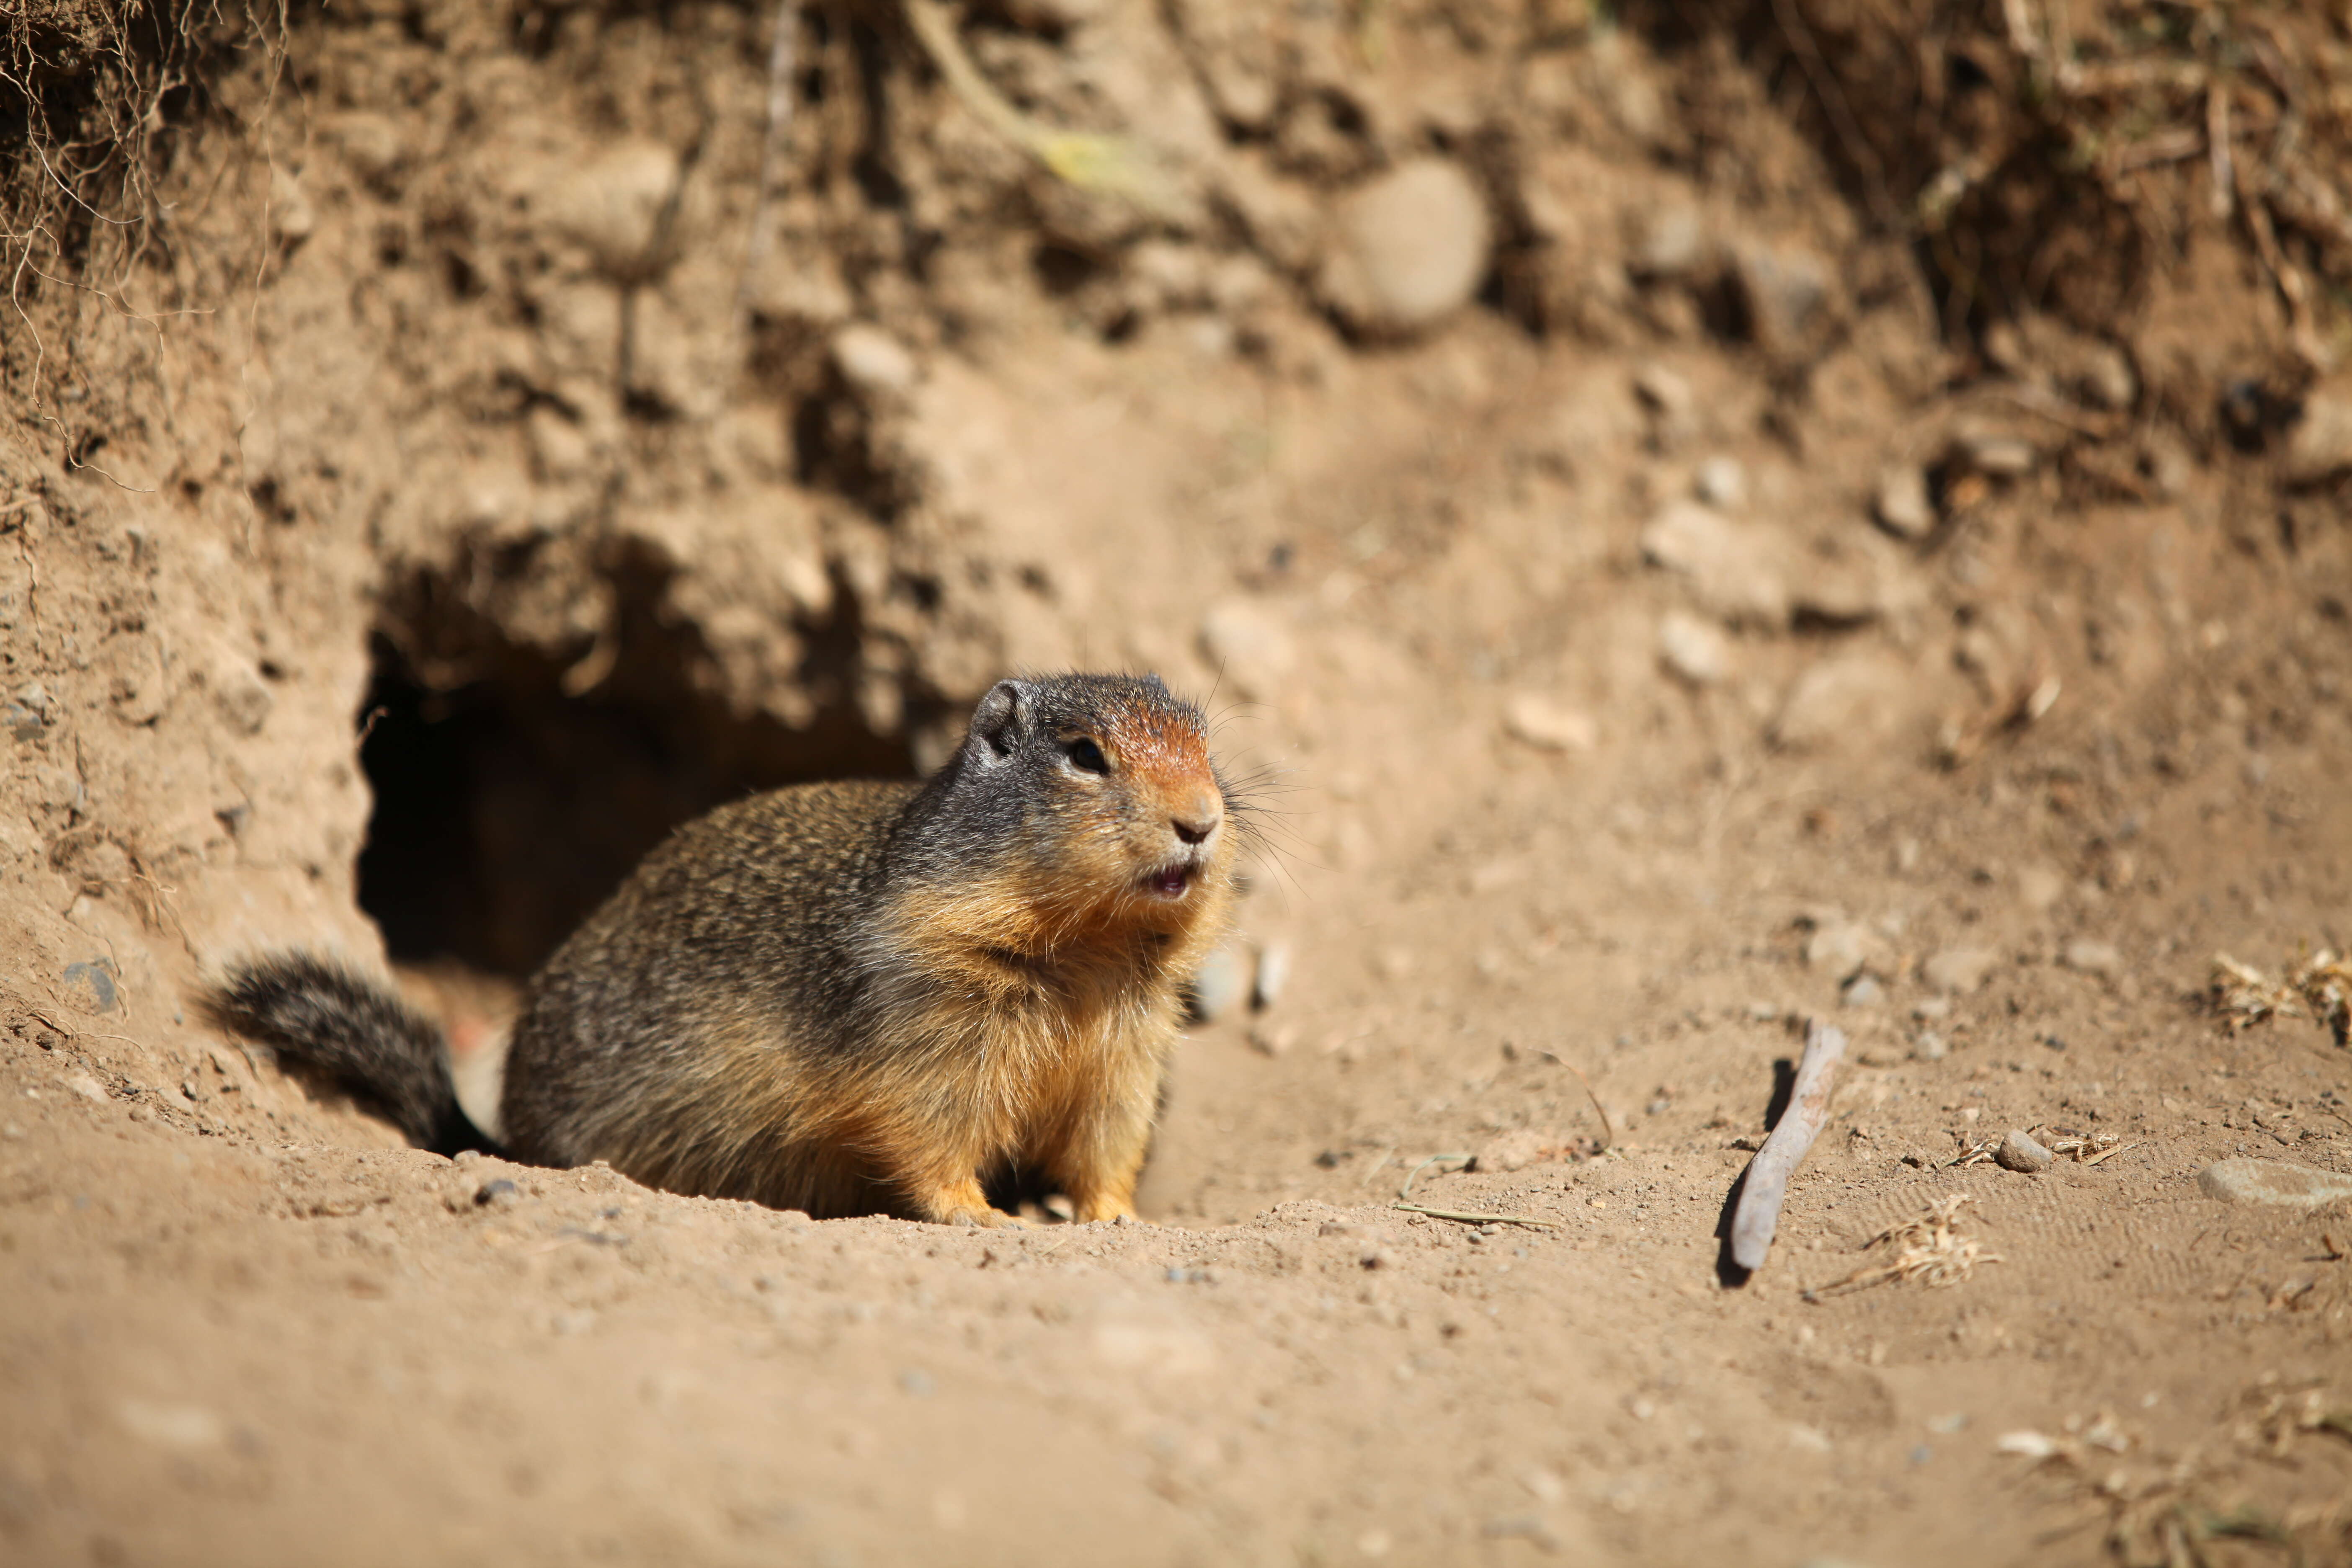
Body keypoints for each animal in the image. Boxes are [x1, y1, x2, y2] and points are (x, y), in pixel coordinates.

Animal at [209, 677, 1242, 1222]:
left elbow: (1108, 1137)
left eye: (1205, 742)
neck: (1085, 950)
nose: (1202, 820)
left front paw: (1112, 1214)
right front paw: (977, 1210)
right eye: (1084, 753)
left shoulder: (1129, 1047)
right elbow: (928, 1129)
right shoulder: (926, 1020)